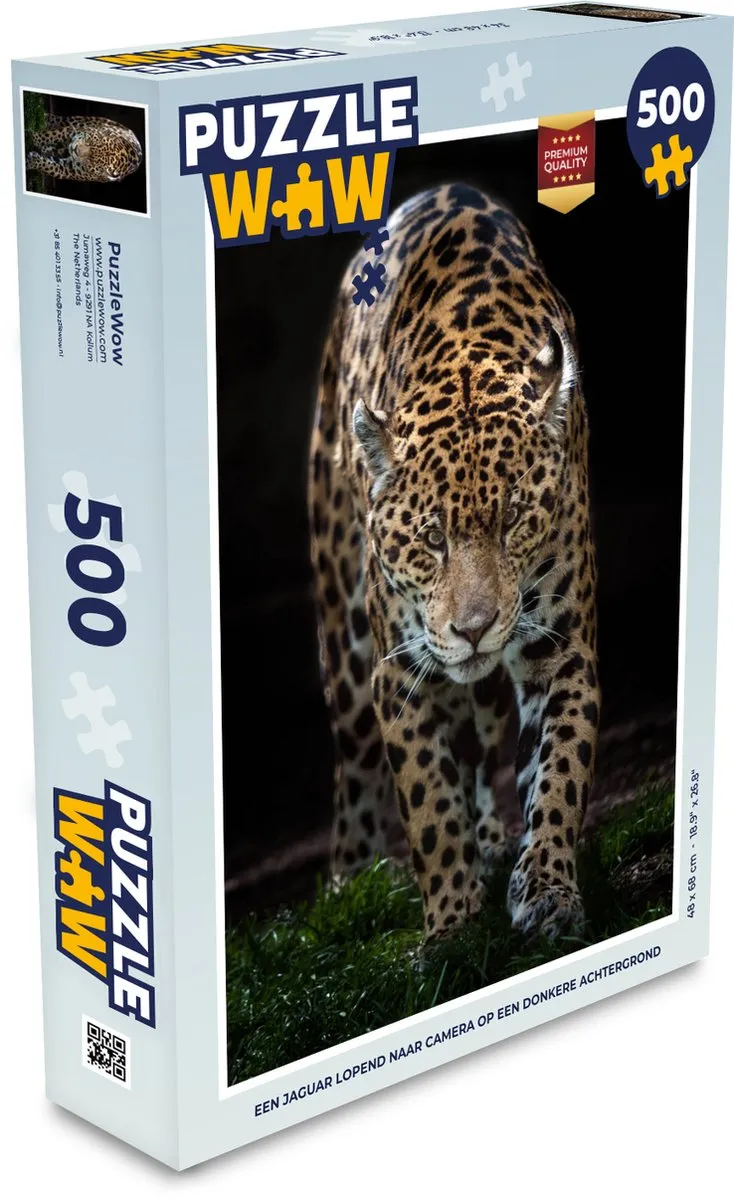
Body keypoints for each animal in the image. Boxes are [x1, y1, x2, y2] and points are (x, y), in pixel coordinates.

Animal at [309, 183, 600, 944]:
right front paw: (451, 931)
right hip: (345, 645)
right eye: (430, 538)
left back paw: (494, 839)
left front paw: (547, 886)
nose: (473, 629)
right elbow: (428, 808)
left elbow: (559, 770)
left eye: (514, 519)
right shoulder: (399, 674)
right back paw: (350, 882)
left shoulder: (561, 649)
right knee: (352, 765)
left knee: (485, 734)